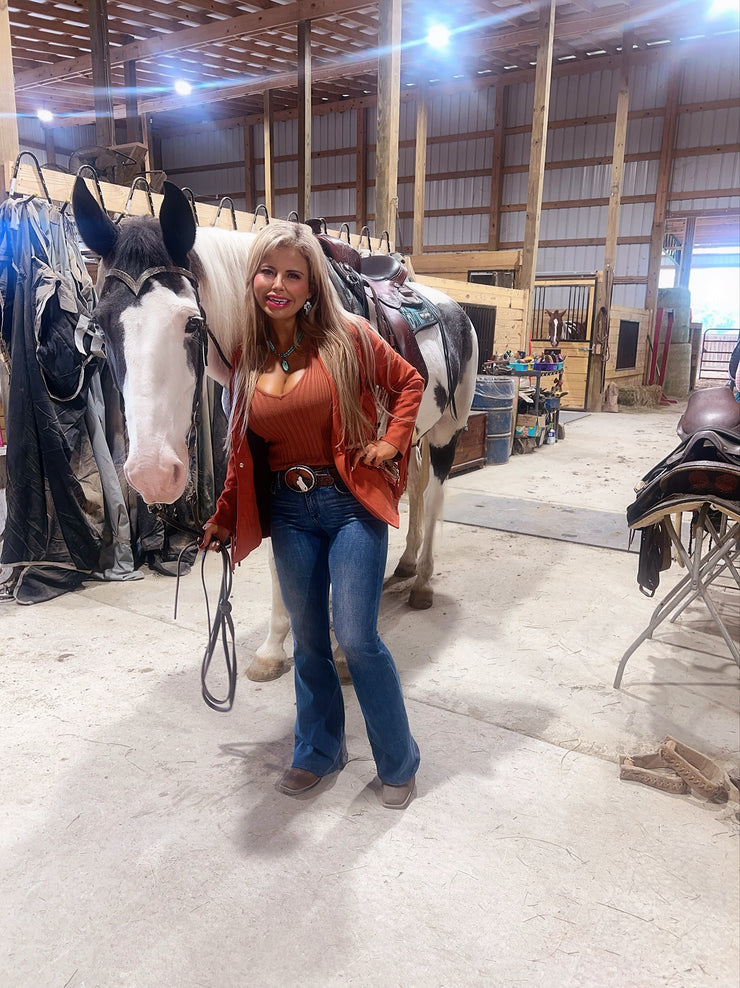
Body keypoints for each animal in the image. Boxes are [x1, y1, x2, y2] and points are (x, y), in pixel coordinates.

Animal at [72, 179, 476, 680]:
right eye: (100, 325)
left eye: (192, 322)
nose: (152, 473)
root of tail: (453, 307)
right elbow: (280, 560)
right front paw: (274, 647)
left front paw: (339, 651)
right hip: (416, 437)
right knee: (418, 494)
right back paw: (404, 566)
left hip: (446, 435)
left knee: (435, 496)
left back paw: (422, 583)